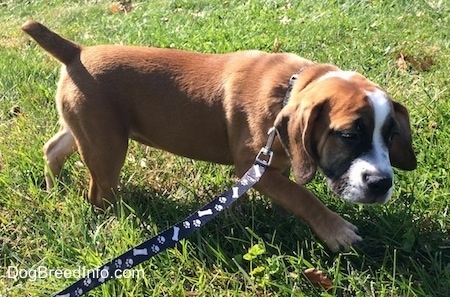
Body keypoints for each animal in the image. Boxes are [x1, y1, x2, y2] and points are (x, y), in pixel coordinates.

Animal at [20, 20, 414, 250]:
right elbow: (303, 196)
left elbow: (291, 191)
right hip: (107, 145)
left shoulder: (273, 165)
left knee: (54, 148)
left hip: (85, 127)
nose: (381, 184)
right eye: (348, 135)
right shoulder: (251, 167)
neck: (290, 87)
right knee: (99, 193)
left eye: (391, 135)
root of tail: (77, 51)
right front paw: (335, 230)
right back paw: (122, 219)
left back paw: (54, 189)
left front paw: (285, 215)